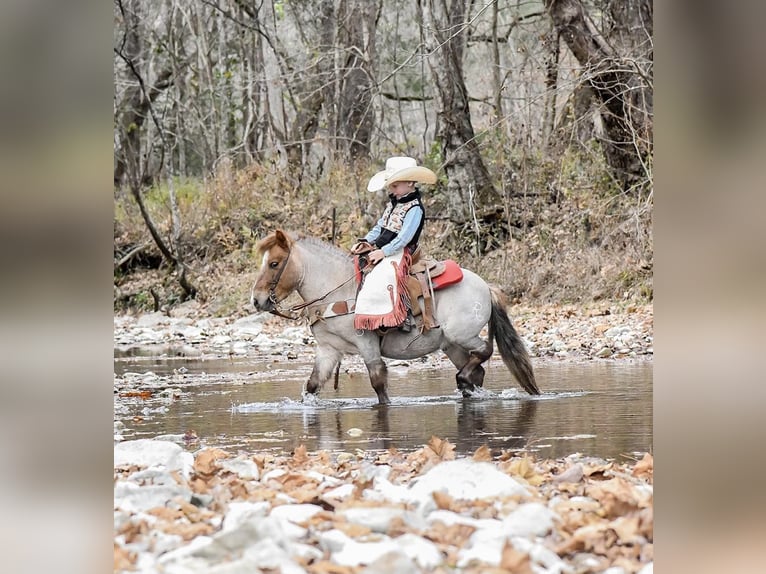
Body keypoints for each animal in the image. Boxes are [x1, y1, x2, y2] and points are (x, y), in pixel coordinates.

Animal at [252, 230, 540, 404]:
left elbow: (378, 381)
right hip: (451, 344)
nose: (257, 300)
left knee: (485, 350)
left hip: (462, 334)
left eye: (274, 263)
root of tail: (485, 286)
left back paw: (463, 380)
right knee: (477, 368)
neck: (336, 291)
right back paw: (467, 385)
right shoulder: (328, 349)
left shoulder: (367, 343)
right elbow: (312, 384)